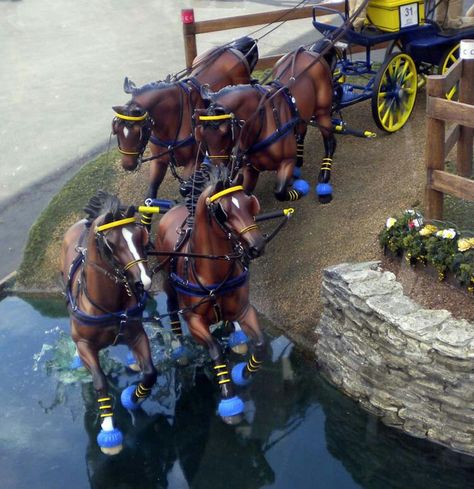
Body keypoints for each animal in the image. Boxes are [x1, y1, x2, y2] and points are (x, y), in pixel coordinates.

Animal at [59, 191, 157, 454]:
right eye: (111, 245)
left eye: (141, 236)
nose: (144, 280)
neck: (109, 305)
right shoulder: (85, 345)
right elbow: (100, 381)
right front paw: (108, 427)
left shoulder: (137, 334)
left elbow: (150, 372)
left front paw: (133, 398)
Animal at [112, 37, 260, 203]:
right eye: (116, 130)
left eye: (139, 132)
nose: (128, 164)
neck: (172, 119)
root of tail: (231, 48)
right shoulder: (158, 162)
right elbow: (150, 193)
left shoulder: (193, 162)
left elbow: (185, 189)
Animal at [156, 167, 266, 424]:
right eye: (223, 212)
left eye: (250, 203)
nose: (257, 245)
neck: (212, 273)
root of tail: (172, 208)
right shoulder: (195, 321)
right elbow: (214, 349)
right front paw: (229, 397)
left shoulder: (244, 309)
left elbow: (260, 343)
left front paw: (244, 373)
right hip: (167, 282)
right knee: (171, 307)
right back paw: (179, 348)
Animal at [193, 41, 336, 203]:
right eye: (201, 135)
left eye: (225, 133)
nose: (217, 176)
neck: (263, 125)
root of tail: (308, 51)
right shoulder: (250, 169)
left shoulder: (286, 162)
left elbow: (279, 192)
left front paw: (299, 191)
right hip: (302, 114)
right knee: (301, 133)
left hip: (322, 111)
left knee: (330, 141)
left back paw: (324, 180)